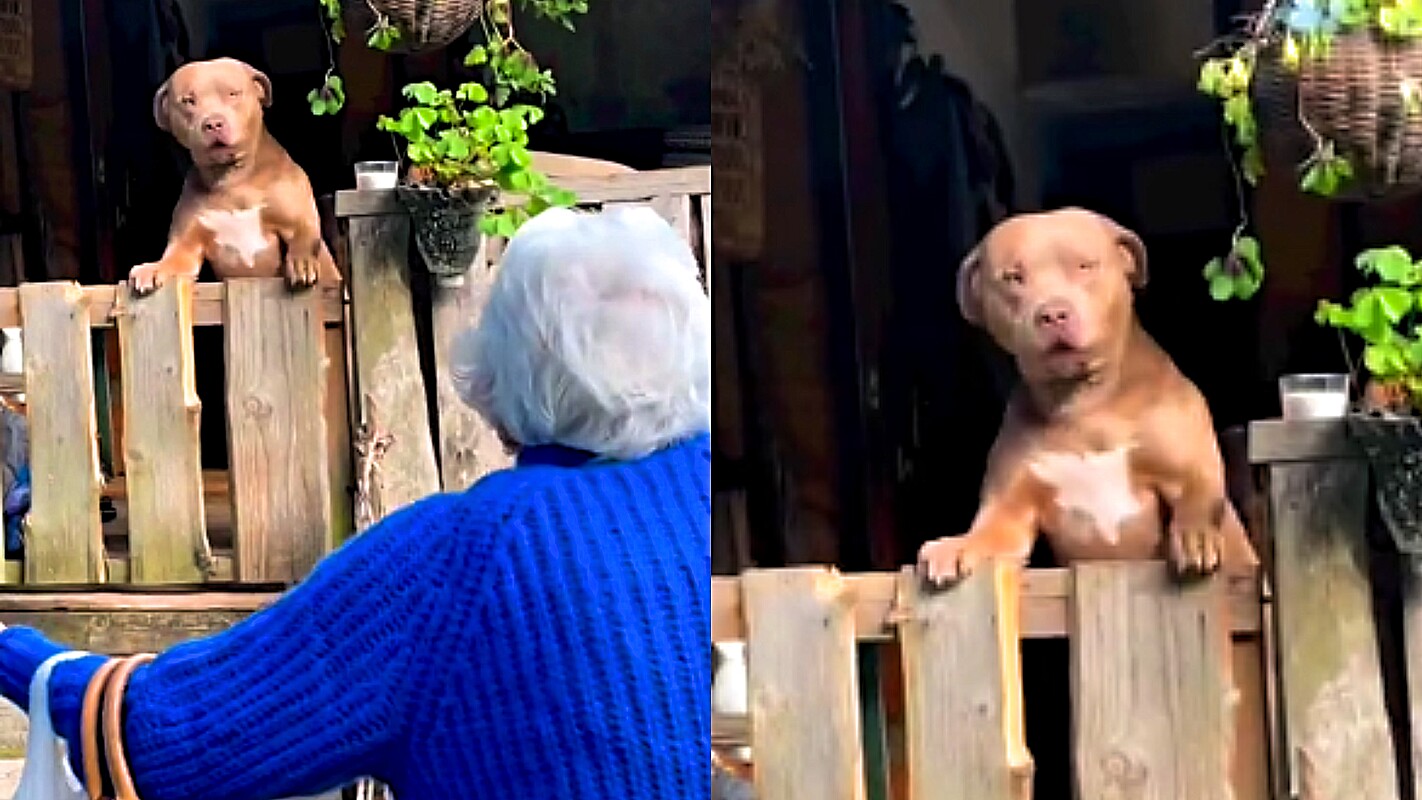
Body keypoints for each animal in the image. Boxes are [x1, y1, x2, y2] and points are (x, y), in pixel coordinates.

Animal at [128, 58, 338, 294]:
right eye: (188, 101)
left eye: (233, 93)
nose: (213, 123)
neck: (233, 180)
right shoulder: (187, 246)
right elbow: (173, 259)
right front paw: (152, 268)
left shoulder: (296, 219)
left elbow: (303, 234)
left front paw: (302, 262)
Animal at [915, 206, 1251, 585]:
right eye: (1013, 277)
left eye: (1085, 265)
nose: (1052, 313)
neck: (1084, 405)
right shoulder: (1011, 510)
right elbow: (989, 532)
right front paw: (956, 546)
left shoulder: (1186, 468)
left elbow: (1197, 493)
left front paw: (1196, 537)